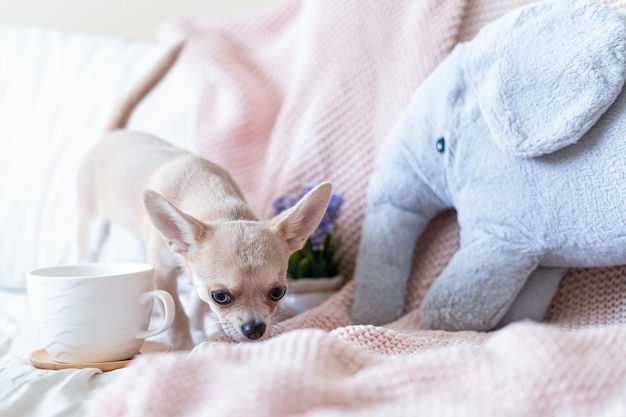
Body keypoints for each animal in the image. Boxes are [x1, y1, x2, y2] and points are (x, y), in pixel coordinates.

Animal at [76, 41, 334, 348]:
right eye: (220, 296)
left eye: (278, 293)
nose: (255, 329)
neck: (219, 206)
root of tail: (113, 134)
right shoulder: (162, 272)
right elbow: (177, 315)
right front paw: (185, 346)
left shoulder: (193, 273)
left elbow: (196, 304)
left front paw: (200, 328)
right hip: (95, 228)